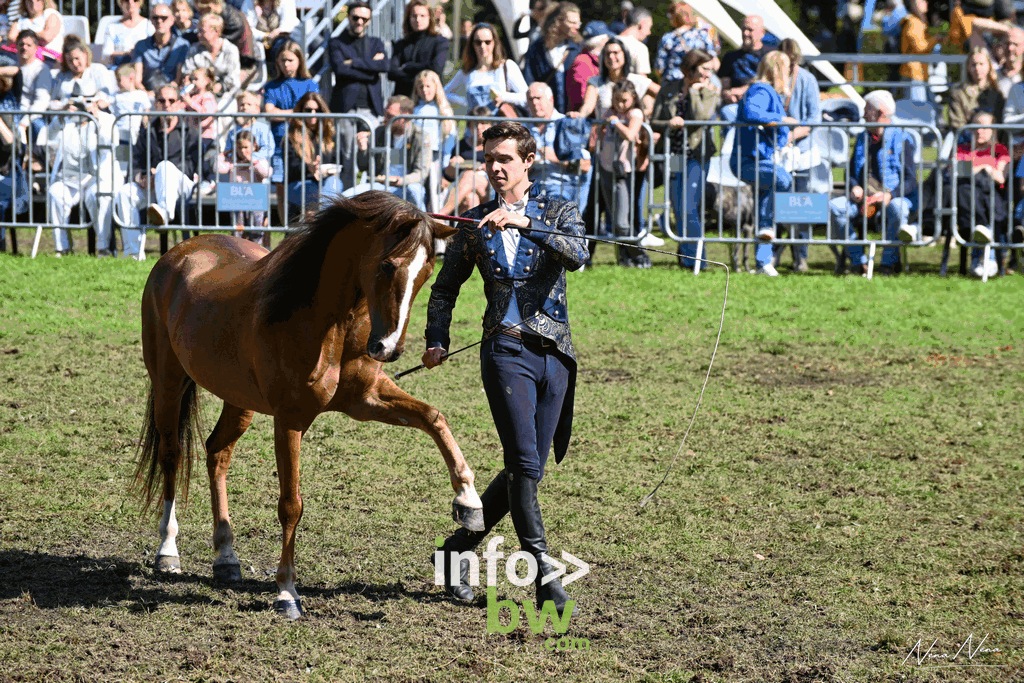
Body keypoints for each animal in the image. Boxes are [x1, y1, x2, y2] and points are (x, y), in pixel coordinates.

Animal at [135, 191, 483, 618]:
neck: (323, 320)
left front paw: (468, 501)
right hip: (169, 384)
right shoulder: (290, 420)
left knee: (217, 453)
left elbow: (434, 417)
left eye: (427, 272)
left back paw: (226, 557)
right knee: (171, 456)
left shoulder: (366, 400)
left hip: (240, 402)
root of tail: (178, 253)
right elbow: (291, 504)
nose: (389, 348)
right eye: (388, 265)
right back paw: (168, 550)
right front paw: (287, 591)